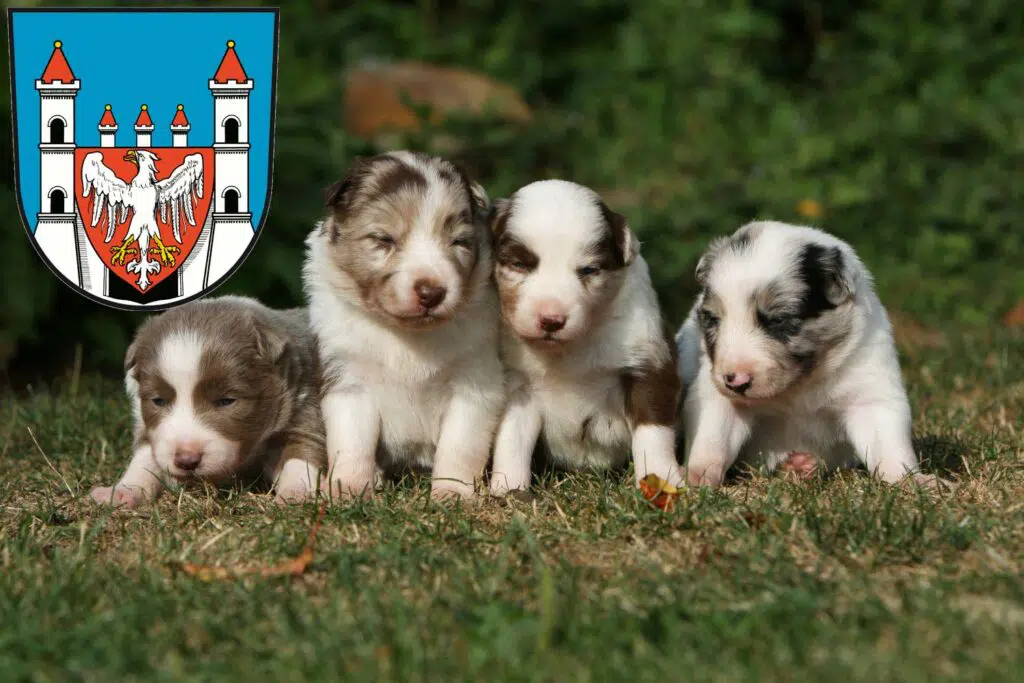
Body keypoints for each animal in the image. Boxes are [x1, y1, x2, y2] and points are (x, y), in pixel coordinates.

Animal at [91, 294, 325, 507]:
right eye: (158, 401)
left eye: (226, 400)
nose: (187, 460)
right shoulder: (148, 428)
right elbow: (145, 458)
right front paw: (123, 491)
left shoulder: (302, 409)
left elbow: (300, 453)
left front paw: (295, 493)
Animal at [301, 152, 505, 499]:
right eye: (384, 239)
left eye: (460, 241)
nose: (431, 293)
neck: (408, 336)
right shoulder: (349, 380)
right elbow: (352, 444)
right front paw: (348, 490)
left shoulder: (475, 382)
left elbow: (460, 445)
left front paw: (452, 493)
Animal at [485, 179, 684, 493]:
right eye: (519, 264)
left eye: (589, 269)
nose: (551, 319)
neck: (569, 349)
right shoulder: (518, 384)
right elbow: (512, 438)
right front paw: (508, 488)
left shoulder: (649, 364)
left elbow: (653, 431)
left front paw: (662, 480)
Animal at [675, 222, 937, 489]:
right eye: (713, 320)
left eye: (778, 320)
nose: (735, 380)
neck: (798, 386)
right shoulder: (719, 399)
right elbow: (713, 435)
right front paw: (697, 474)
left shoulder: (868, 382)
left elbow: (887, 442)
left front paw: (910, 480)